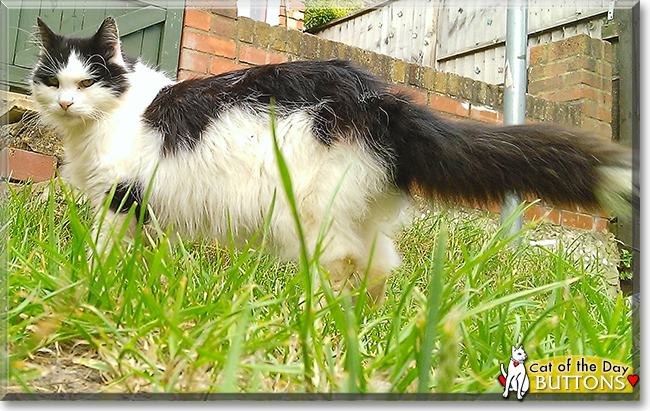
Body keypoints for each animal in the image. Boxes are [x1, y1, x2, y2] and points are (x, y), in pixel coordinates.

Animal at [30, 18, 628, 302]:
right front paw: (137, 284)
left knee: (339, 265)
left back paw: (314, 319)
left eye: (87, 82)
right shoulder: (149, 204)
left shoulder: (121, 195)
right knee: (378, 266)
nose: (65, 103)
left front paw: (92, 281)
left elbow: (102, 247)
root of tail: (378, 98)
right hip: (356, 210)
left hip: (309, 212)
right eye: (53, 81)